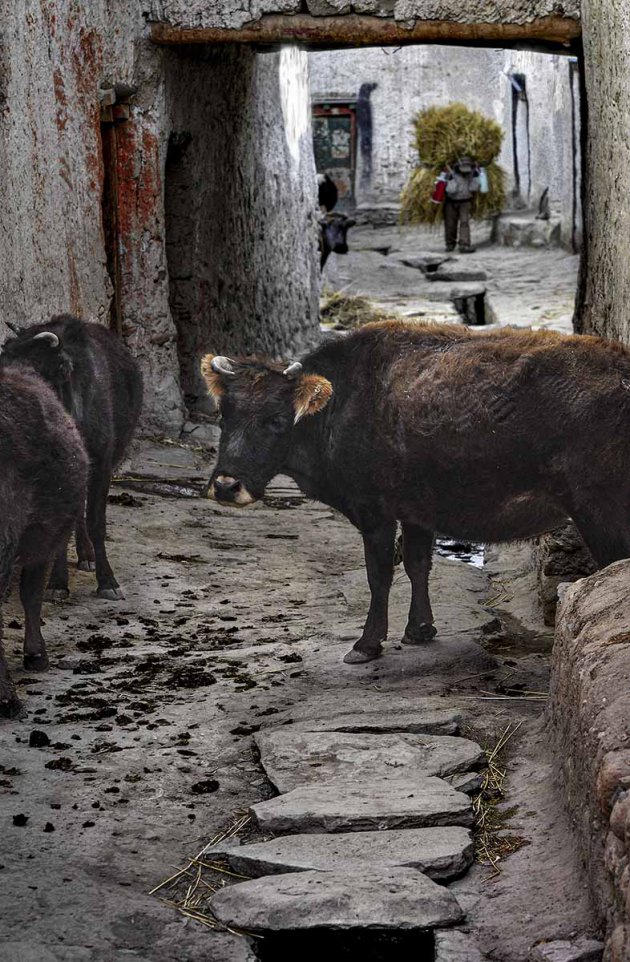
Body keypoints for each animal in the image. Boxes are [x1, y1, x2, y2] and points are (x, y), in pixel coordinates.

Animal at [0, 316, 144, 600]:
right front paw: (57, 583)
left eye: (36, 370)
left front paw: (107, 581)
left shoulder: (102, 466)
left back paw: (87, 555)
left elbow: (97, 523)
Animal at [201, 320, 630, 660]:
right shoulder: (417, 510)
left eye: (276, 420)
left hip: (601, 514)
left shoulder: (374, 511)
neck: (342, 403)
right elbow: (417, 564)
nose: (226, 485)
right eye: (224, 415)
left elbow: (379, 575)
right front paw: (420, 630)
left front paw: (366, 644)